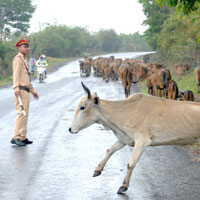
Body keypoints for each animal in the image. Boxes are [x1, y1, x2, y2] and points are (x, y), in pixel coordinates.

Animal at [69, 81, 200, 194]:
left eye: (82, 107)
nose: (70, 129)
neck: (124, 111)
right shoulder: (125, 138)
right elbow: (110, 150)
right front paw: (97, 169)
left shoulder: (142, 141)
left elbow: (131, 163)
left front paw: (123, 186)